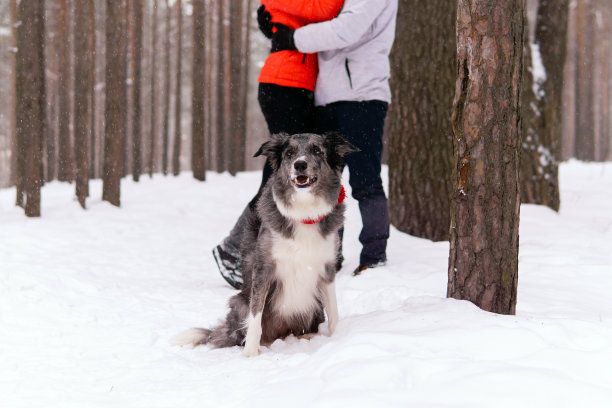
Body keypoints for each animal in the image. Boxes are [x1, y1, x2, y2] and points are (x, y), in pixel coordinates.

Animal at [172, 132, 358, 356]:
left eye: (316, 150)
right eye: (289, 153)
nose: (300, 165)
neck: (304, 212)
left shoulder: (327, 267)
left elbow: (334, 311)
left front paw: (338, 338)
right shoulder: (264, 269)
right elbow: (256, 316)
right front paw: (250, 353)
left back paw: (307, 336)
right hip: (240, 302)